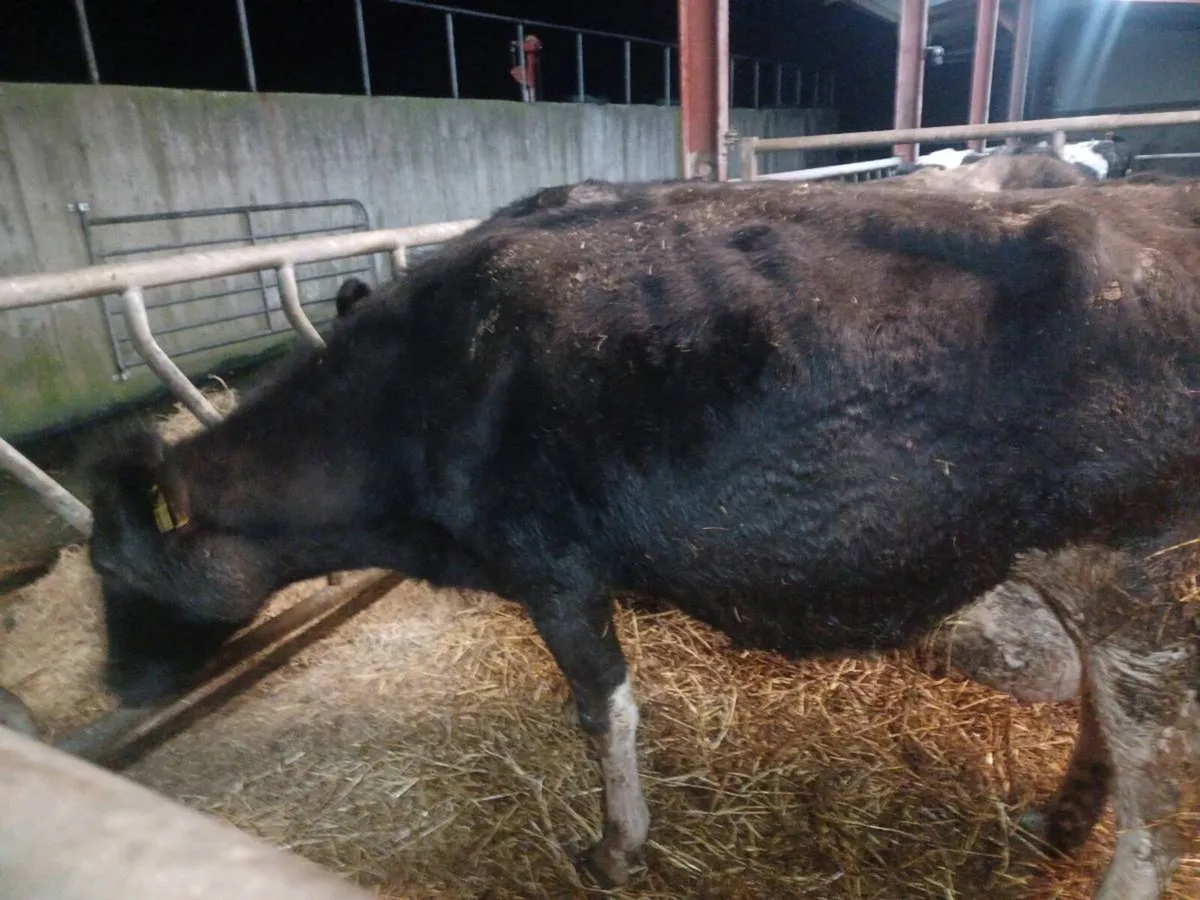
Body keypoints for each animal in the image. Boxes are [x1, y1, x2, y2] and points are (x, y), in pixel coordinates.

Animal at [86, 177, 1200, 900]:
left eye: (109, 566)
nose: (113, 685)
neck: (412, 395)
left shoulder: (552, 564)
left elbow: (604, 711)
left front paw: (615, 851)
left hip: (1139, 580)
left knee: (1156, 783)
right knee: (1106, 725)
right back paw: (1055, 821)